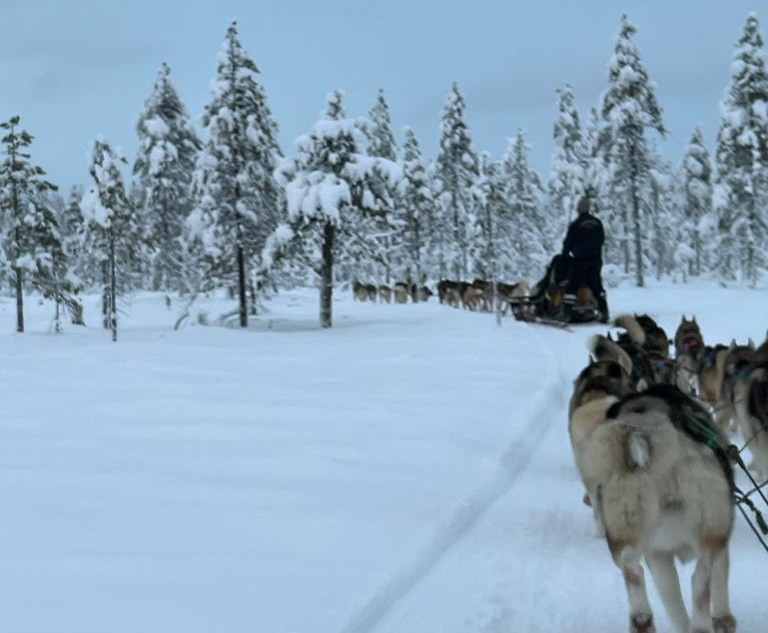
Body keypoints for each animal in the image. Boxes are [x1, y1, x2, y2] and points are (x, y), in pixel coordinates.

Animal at [580, 382, 736, 632]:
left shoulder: (658, 553)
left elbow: (673, 603)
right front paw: (723, 617)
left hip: (626, 532)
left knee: (632, 569)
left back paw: (642, 617)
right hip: (711, 531)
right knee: (701, 579)